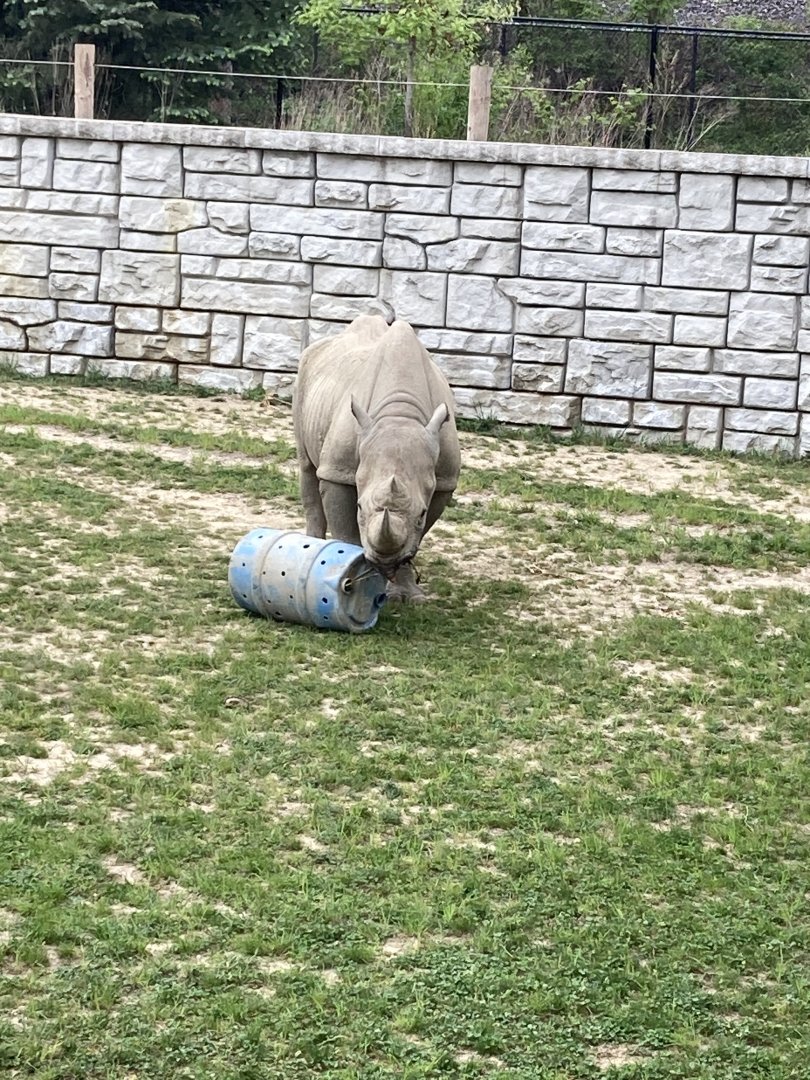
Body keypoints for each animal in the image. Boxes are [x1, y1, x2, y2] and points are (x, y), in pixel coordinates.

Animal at [292, 314, 460, 601]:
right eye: (359, 507)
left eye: (421, 513)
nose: (384, 561)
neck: (400, 415)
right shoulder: (338, 469)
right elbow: (345, 527)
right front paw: (347, 567)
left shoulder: (444, 480)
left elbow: (417, 535)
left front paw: (407, 596)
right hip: (304, 375)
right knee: (307, 467)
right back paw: (309, 549)